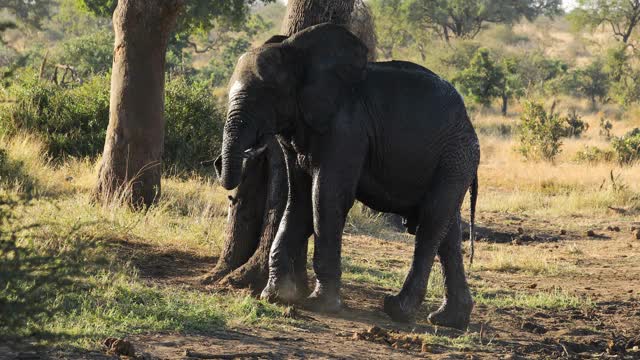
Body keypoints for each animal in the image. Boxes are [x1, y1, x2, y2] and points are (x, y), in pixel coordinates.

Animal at [216, 22, 480, 330]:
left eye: (268, 94)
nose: (219, 164)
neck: (297, 52)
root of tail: (468, 121)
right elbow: (300, 201)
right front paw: (276, 295)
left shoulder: (348, 127)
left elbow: (327, 197)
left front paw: (321, 305)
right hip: (453, 159)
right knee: (448, 231)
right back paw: (449, 320)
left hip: (456, 157)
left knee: (431, 224)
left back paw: (397, 310)